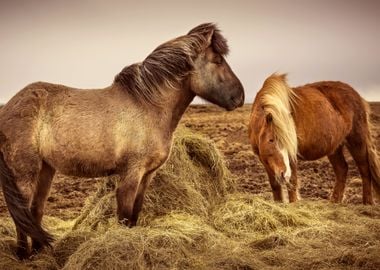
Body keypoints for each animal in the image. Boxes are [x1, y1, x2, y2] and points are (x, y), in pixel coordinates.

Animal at [0, 23, 243, 260]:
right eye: (217, 60)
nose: (240, 97)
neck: (148, 106)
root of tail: (10, 106)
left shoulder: (147, 175)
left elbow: (135, 214)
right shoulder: (130, 174)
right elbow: (124, 216)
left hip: (46, 170)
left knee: (35, 211)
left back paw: (39, 252)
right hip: (25, 173)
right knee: (21, 213)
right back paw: (23, 255)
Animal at [249, 74, 380, 205]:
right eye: (271, 140)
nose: (284, 175)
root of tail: (356, 95)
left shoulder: (291, 158)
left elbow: (293, 182)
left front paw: (293, 204)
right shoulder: (264, 159)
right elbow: (275, 185)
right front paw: (278, 204)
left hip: (357, 141)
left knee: (364, 168)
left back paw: (367, 202)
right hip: (335, 148)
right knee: (342, 169)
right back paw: (335, 201)